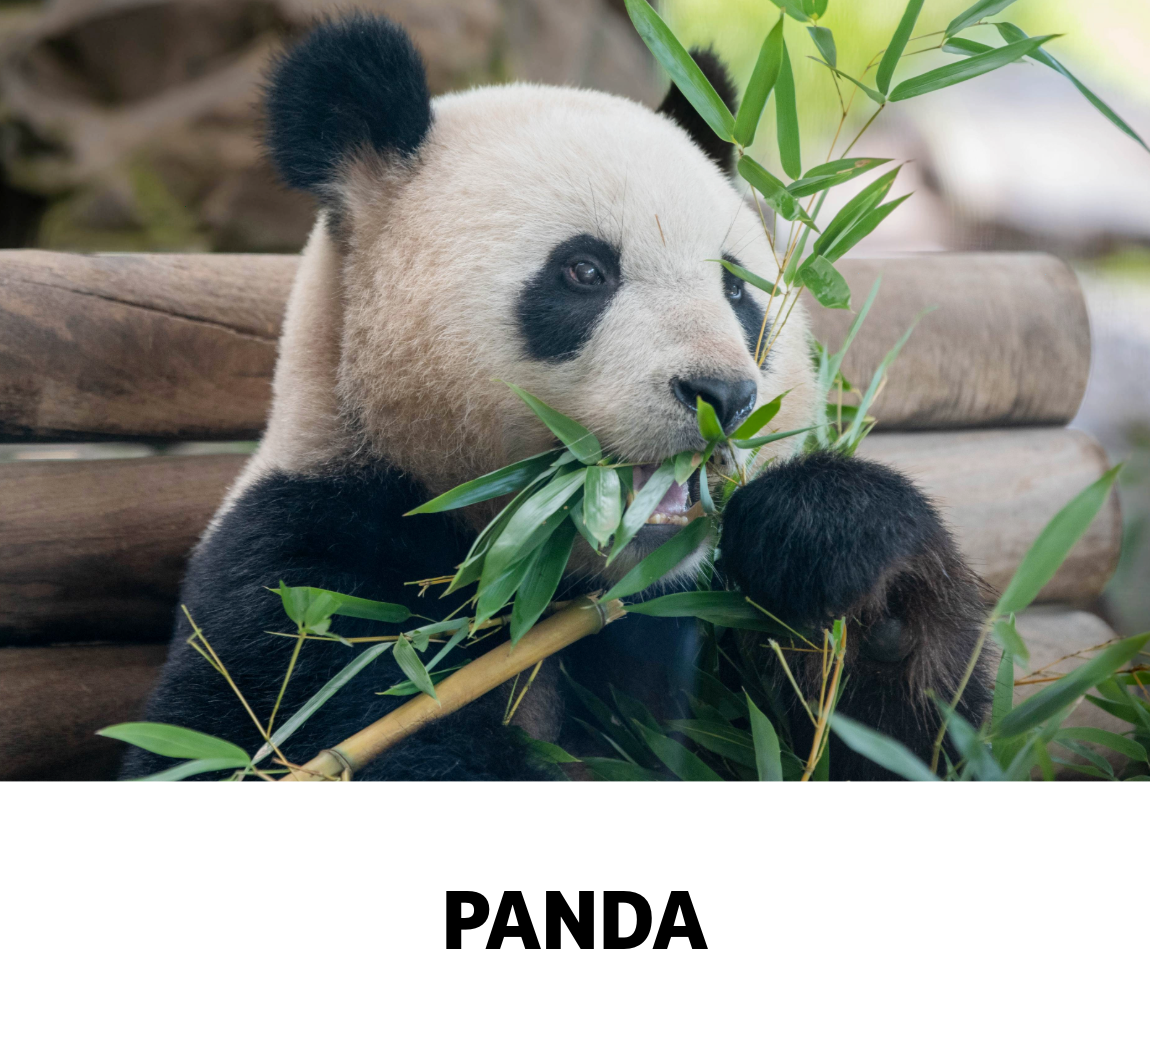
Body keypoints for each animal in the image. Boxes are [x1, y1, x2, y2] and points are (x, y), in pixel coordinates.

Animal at [122, 14, 990, 782]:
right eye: (585, 271)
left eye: (737, 289)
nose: (724, 395)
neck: (546, 581)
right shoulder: (312, 580)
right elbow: (294, 729)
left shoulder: (698, 615)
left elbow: (888, 749)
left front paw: (834, 544)